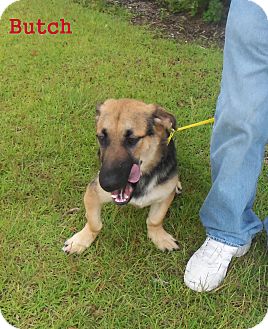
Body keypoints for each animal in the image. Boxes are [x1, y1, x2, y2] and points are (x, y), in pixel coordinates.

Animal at [62, 98, 182, 254]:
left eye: (132, 139)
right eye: (101, 137)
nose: (107, 184)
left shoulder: (165, 195)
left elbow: (155, 220)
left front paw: (159, 237)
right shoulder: (93, 193)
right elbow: (94, 223)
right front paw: (81, 240)